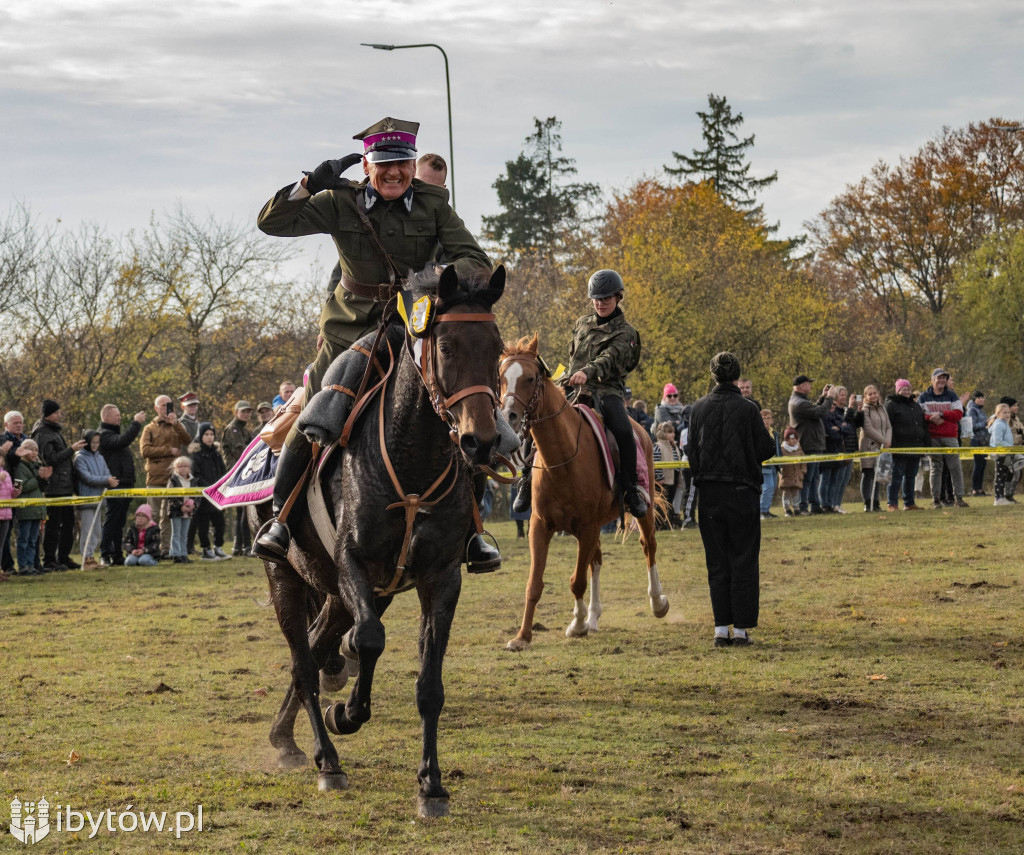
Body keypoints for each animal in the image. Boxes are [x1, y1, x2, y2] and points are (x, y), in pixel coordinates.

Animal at [256, 266, 503, 815]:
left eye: (497, 347)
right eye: (447, 346)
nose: (481, 441)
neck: (414, 458)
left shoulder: (439, 580)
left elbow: (429, 684)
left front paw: (431, 785)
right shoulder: (354, 563)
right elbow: (369, 640)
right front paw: (346, 713)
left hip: (341, 593)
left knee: (313, 650)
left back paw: (285, 738)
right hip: (285, 578)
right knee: (303, 664)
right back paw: (327, 760)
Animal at [497, 331, 671, 647]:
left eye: (530, 378)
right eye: (502, 377)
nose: (509, 417)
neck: (563, 458)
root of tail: (642, 430)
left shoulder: (587, 527)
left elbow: (576, 580)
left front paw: (576, 625)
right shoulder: (540, 526)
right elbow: (535, 583)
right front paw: (523, 636)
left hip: (644, 510)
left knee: (648, 546)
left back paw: (657, 603)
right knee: (597, 561)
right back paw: (593, 616)